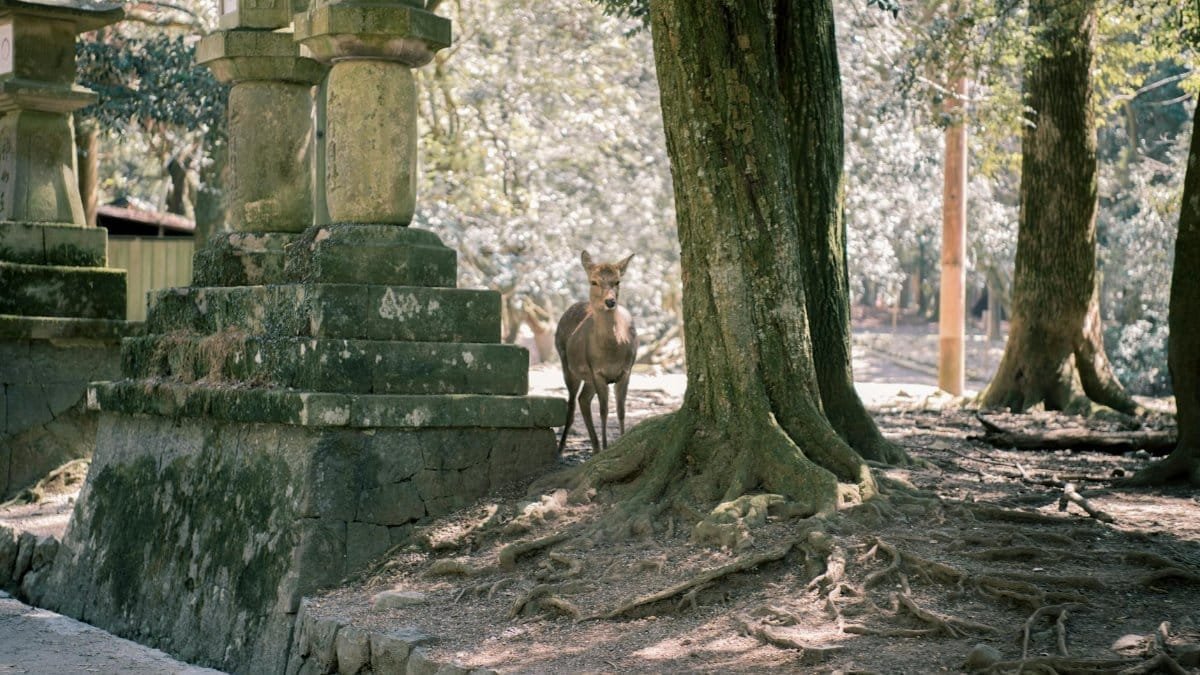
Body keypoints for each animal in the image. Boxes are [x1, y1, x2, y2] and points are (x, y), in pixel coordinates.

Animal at [556, 251, 637, 453]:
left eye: (617, 281)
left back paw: (595, 447)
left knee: (583, 399)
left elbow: (621, 411)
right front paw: (608, 447)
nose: (610, 301)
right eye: (594, 282)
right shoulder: (597, 371)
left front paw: (618, 442)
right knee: (571, 404)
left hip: (588, 378)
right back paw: (561, 448)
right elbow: (603, 410)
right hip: (566, 363)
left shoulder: (627, 370)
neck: (612, 351)